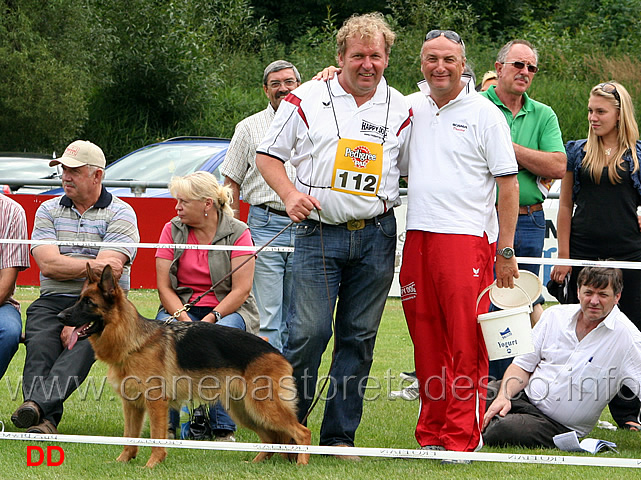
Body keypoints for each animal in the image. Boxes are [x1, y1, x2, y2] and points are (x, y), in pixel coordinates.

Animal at [60, 264, 310, 466]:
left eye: (88, 303)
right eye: (79, 299)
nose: (60, 316)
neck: (135, 342)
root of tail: (277, 352)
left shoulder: (155, 404)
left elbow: (157, 437)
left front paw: (152, 464)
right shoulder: (131, 405)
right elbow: (129, 437)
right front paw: (122, 462)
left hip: (263, 407)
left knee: (302, 432)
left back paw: (301, 464)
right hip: (245, 410)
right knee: (272, 439)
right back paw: (256, 462)